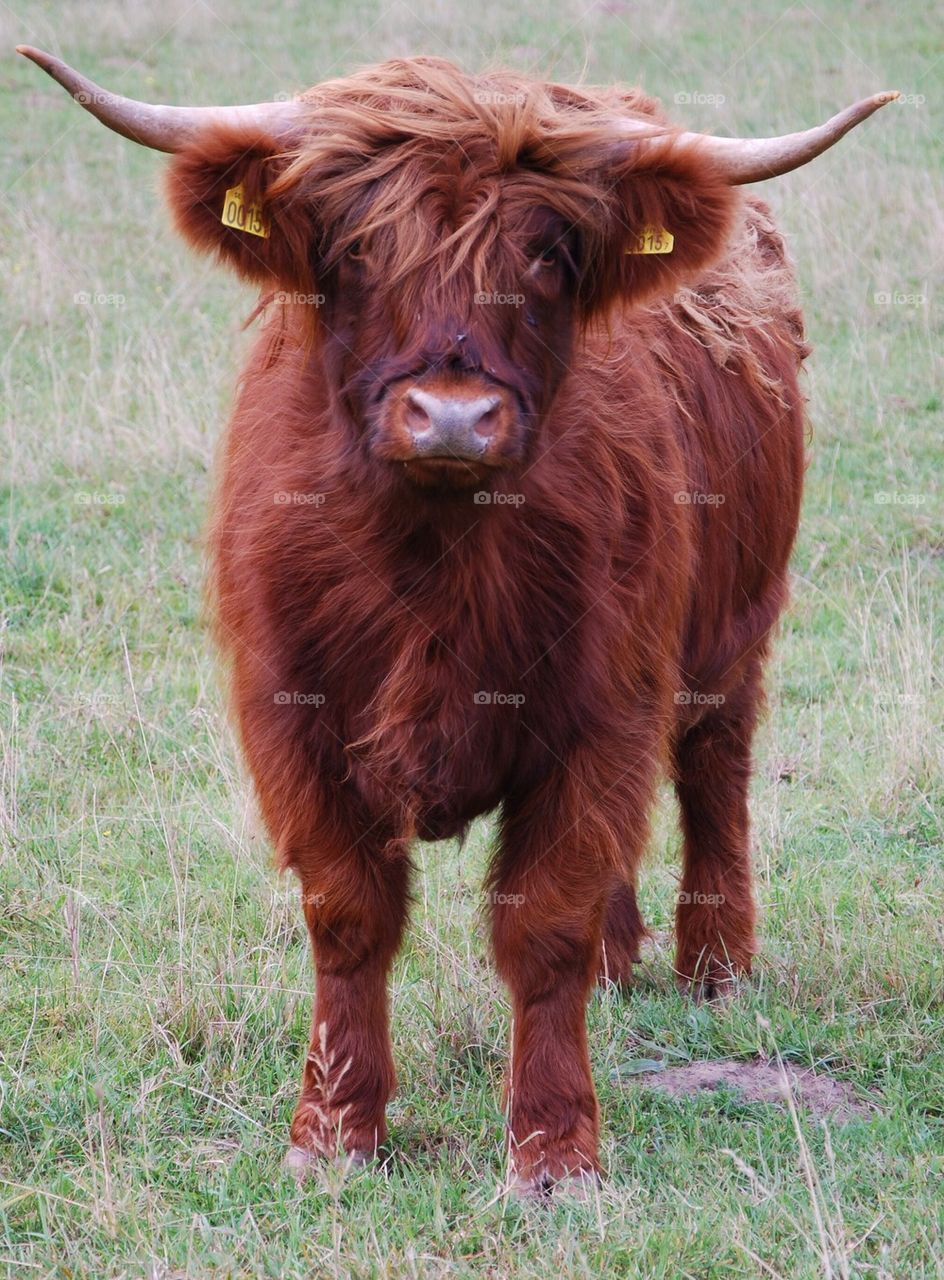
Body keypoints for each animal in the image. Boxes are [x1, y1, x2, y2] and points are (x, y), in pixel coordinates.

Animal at [20, 45, 897, 1197]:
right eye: (355, 245)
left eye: (548, 254)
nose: (450, 416)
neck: (431, 556)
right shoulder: (289, 714)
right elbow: (349, 913)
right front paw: (332, 1133)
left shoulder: (604, 708)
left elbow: (545, 920)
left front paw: (554, 1151)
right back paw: (621, 963)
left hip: (733, 622)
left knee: (715, 766)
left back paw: (714, 965)